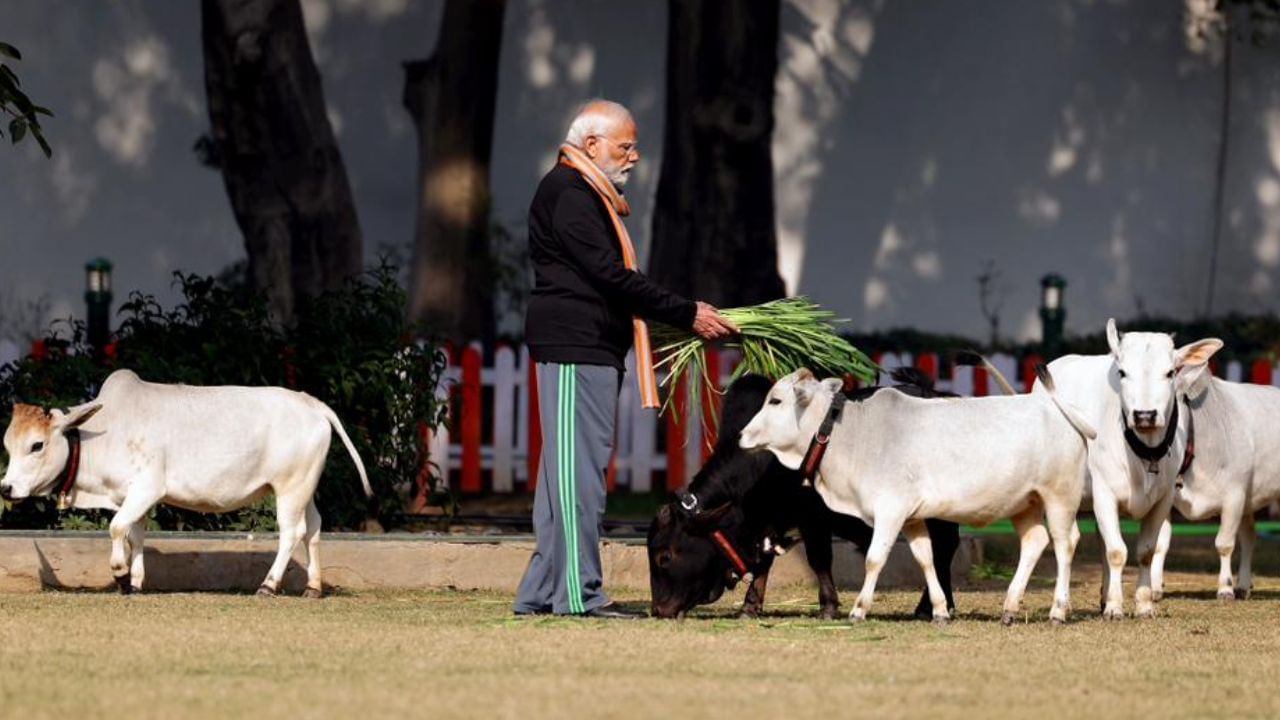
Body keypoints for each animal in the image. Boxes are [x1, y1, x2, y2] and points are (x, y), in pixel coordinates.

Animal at [1, 368, 371, 594]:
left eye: (37, 445)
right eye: (8, 445)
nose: (6, 488)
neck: (104, 431)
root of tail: (311, 403)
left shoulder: (148, 488)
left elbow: (117, 529)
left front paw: (120, 573)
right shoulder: (130, 497)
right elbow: (135, 534)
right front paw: (135, 582)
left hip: (290, 489)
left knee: (291, 533)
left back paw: (268, 585)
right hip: (303, 488)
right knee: (313, 528)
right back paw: (313, 587)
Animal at [650, 368, 962, 617]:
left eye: (664, 557)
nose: (658, 610)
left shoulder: (814, 520)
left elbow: (818, 559)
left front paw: (828, 606)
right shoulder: (771, 523)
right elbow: (764, 563)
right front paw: (750, 606)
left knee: (943, 550)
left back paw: (929, 606)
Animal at [737, 366, 1095, 620]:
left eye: (776, 400)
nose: (741, 435)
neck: (853, 434)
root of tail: (1057, 408)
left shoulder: (890, 509)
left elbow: (875, 558)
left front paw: (859, 609)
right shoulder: (911, 517)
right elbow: (925, 557)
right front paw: (937, 610)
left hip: (1059, 498)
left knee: (1065, 544)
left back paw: (1058, 610)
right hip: (1025, 504)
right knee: (1035, 541)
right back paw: (1009, 607)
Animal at [1029, 319, 1218, 617]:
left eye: (1170, 373)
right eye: (1122, 372)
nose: (1145, 415)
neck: (1145, 453)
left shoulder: (1163, 499)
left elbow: (1146, 551)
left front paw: (1143, 604)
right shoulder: (1105, 495)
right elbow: (1117, 551)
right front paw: (1116, 607)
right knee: (1069, 542)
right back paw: (1066, 604)